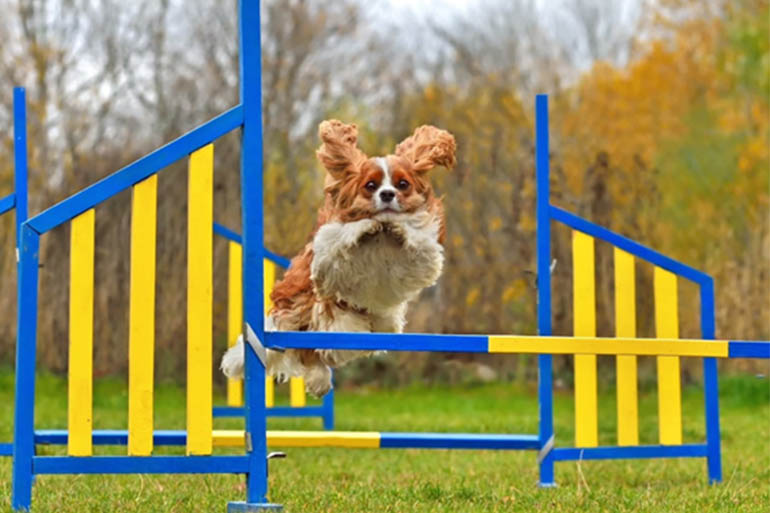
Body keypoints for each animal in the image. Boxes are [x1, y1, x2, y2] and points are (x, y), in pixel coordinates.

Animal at [219, 119, 452, 396]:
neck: (381, 238)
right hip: (313, 314)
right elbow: (343, 236)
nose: (387, 194)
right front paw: (365, 226)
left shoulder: (424, 257)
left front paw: (397, 227)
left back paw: (319, 378)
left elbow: (415, 240)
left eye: (402, 184)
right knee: (313, 346)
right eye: (370, 186)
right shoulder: (325, 257)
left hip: (378, 323)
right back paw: (317, 377)